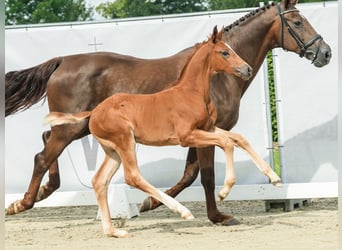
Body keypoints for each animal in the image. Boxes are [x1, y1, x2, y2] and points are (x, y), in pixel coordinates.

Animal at [45, 26, 252, 237]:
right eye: (224, 52)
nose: (248, 69)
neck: (191, 93)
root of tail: (94, 112)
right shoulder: (187, 136)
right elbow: (226, 143)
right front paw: (224, 192)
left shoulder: (208, 128)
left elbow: (235, 140)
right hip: (125, 141)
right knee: (132, 176)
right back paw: (182, 211)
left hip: (113, 151)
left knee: (99, 180)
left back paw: (113, 231)